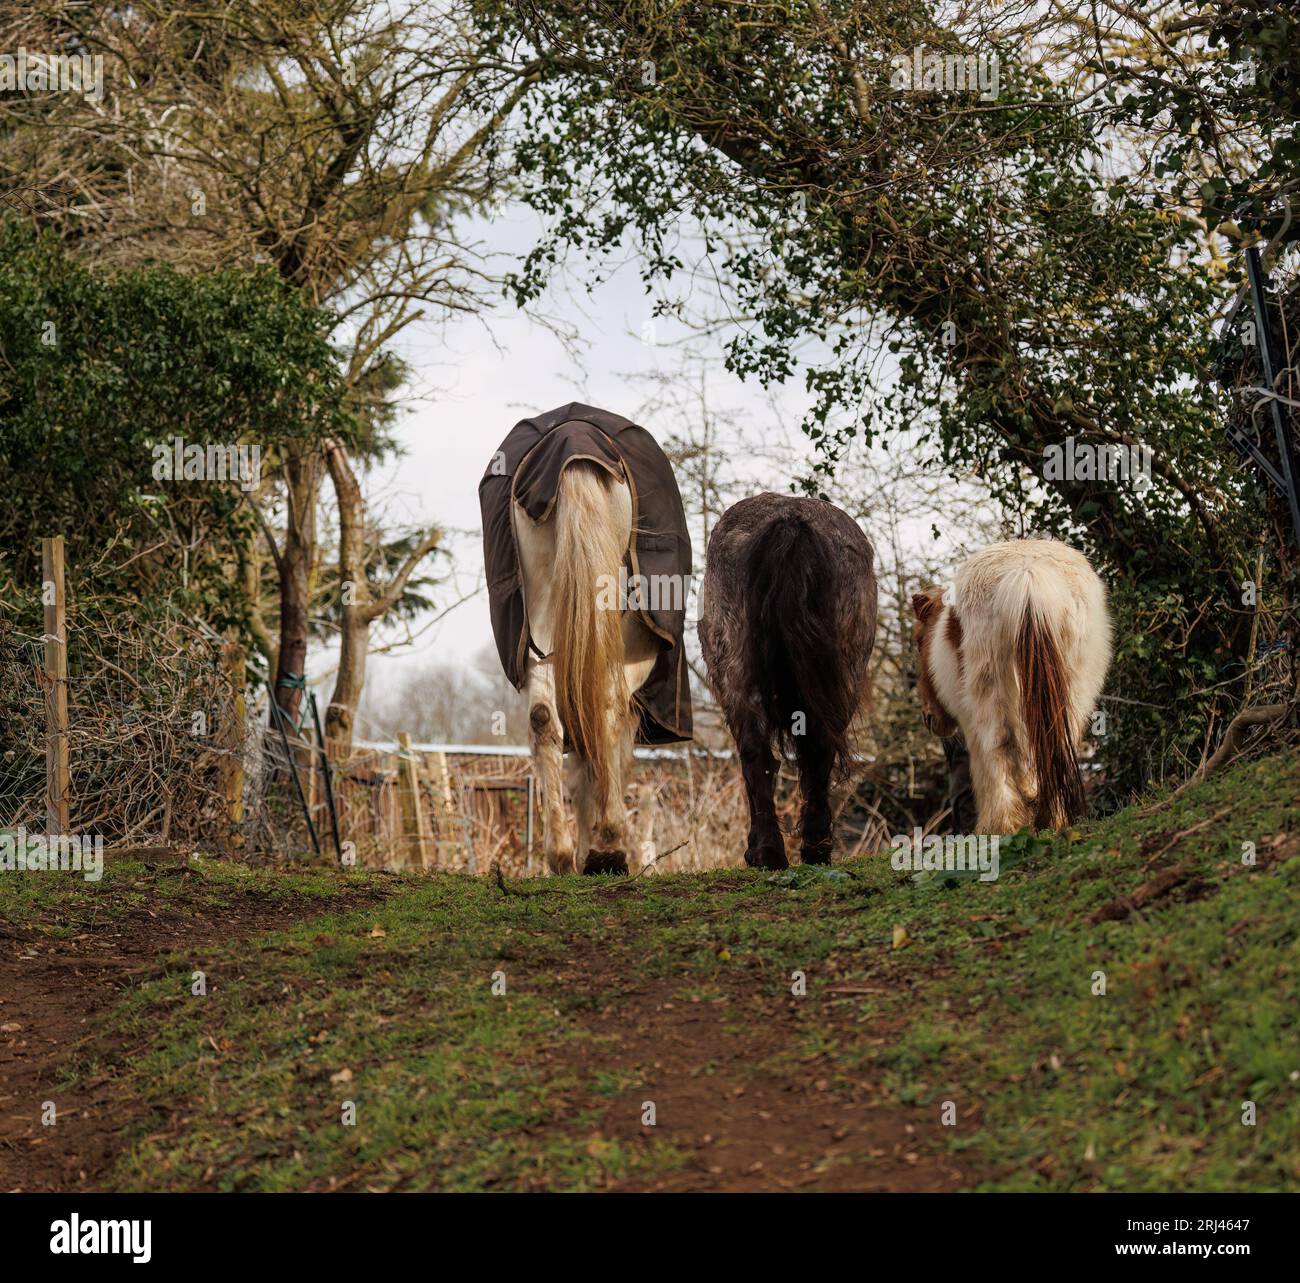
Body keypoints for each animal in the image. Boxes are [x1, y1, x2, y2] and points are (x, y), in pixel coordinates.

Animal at [699, 493, 878, 869]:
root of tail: (790, 520)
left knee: (760, 756)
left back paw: (771, 851)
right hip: (841, 675)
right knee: (814, 750)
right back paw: (808, 848)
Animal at [911, 538, 1112, 834]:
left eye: (917, 641)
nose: (929, 718)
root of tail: (1029, 574)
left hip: (989, 695)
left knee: (998, 749)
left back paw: (999, 826)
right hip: (1074, 690)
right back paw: (1054, 819)